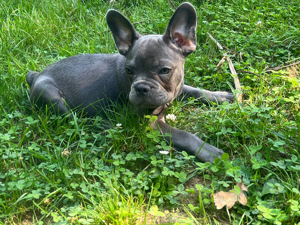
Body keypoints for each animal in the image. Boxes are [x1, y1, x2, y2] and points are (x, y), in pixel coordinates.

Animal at [25, 2, 233, 163]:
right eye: (129, 71)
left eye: (164, 71)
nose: (141, 87)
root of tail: (36, 76)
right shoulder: (151, 124)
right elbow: (182, 134)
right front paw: (206, 149)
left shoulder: (177, 88)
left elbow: (195, 90)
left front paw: (221, 96)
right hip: (49, 93)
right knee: (73, 118)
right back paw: (105, 125)